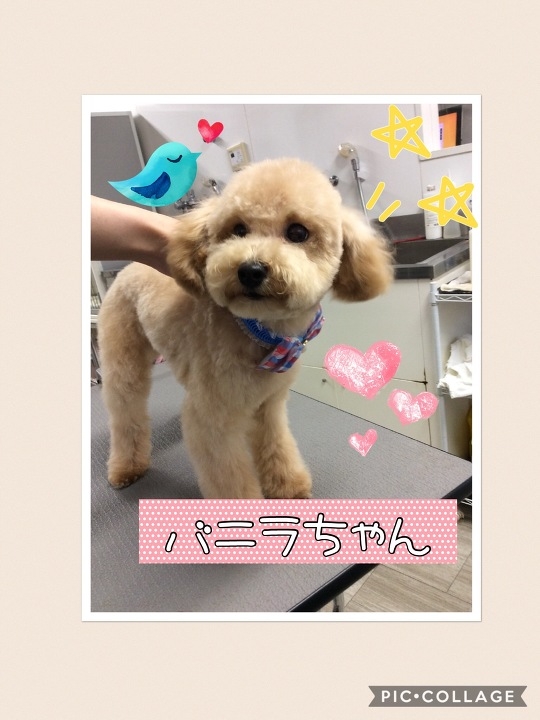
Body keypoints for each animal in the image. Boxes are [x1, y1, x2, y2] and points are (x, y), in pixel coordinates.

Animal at [98, 158, 393, 499]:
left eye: (297, 232)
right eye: (238, 230)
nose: (250, 270)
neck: (262, 332)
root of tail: (127, 268)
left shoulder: (270, 405)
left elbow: (277, 446)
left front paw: (288, 485)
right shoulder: (214, 421)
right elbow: (229, 478)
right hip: (124, 357)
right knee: (125, 412)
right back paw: (126, 466)